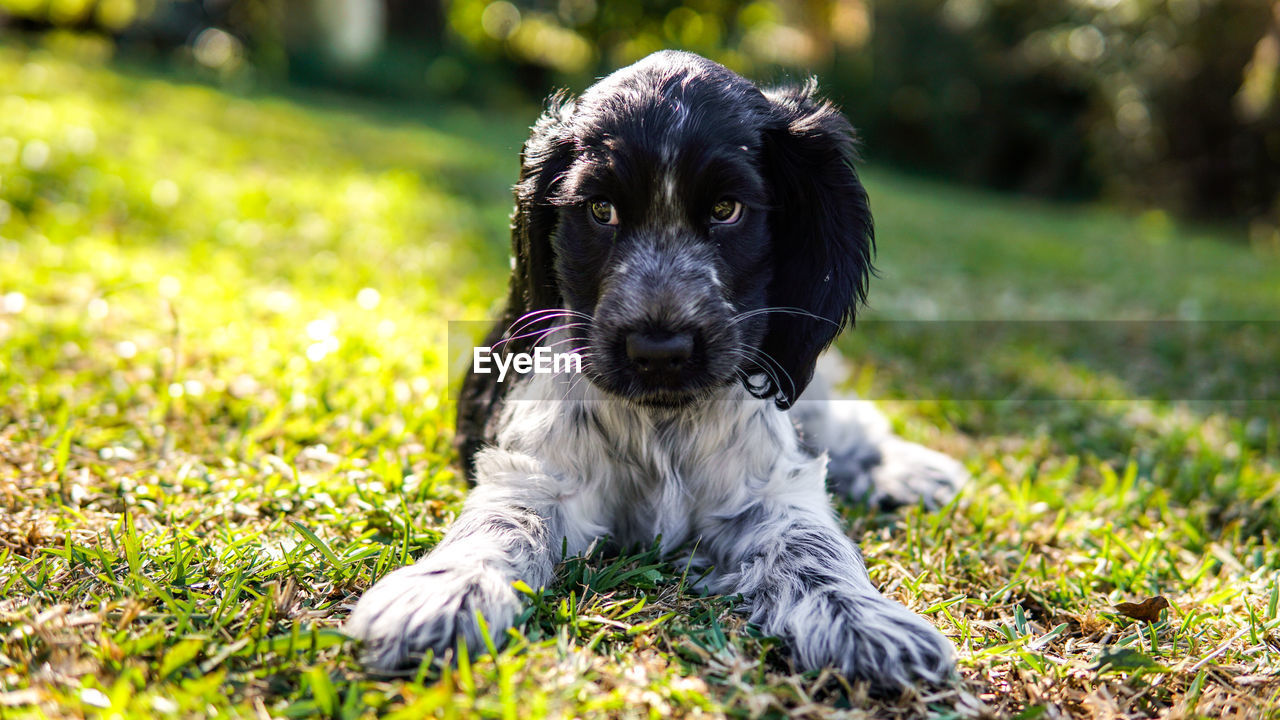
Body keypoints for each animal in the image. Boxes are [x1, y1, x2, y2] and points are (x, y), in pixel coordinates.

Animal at [350, 50, 967, 691]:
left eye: (726, 210)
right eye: (600, 211)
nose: (659, 350)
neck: (663, 423)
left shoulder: (771, 486)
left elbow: (812, 542)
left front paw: (861, 619)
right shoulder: (541, 476)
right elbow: (501, 522)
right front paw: (446, 594)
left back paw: (914, 471)